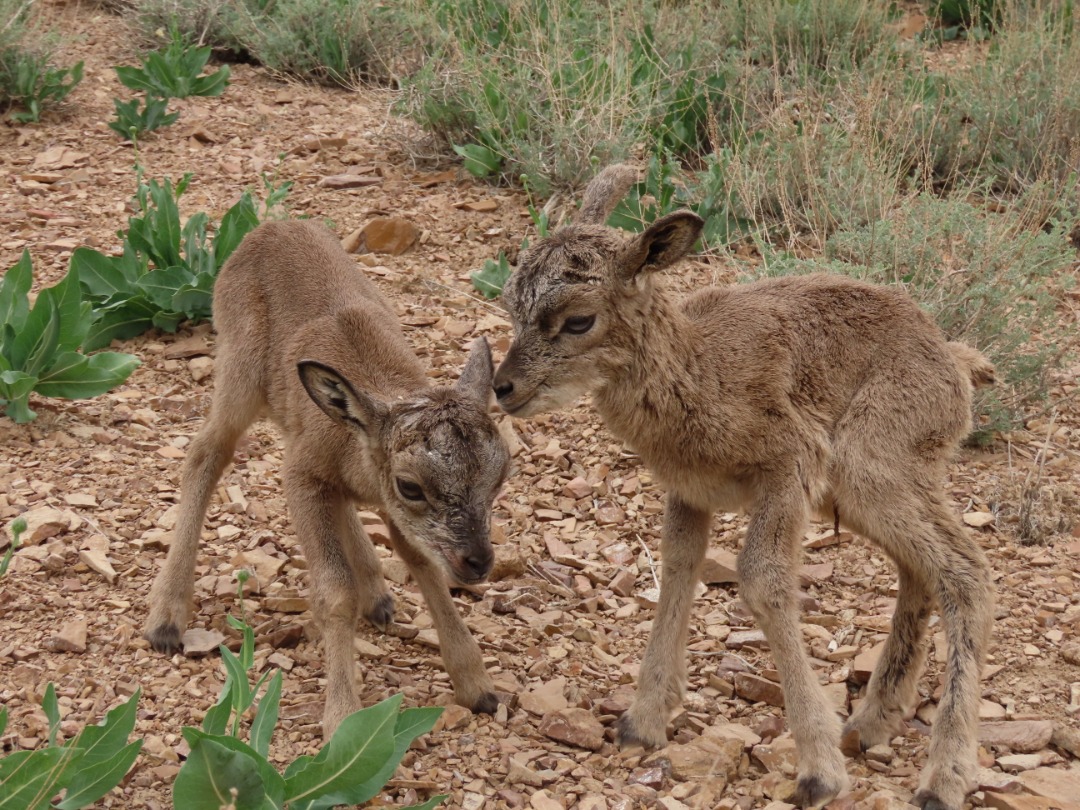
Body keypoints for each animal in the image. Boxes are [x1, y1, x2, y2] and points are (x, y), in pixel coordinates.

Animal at [494, 165, 989, 810]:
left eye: (578, 319)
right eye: (510, 304)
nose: (503, 387)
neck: (702, 373)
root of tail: (954, 366)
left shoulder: (787, 468)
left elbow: (763, 581)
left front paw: (819, 770)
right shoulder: (691, 492)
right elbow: (679, 567)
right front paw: (642, 720)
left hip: (871, 469)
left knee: (965, 573)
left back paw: (944, 775)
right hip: (866, 494)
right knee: (921, 572)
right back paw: (872, 721)